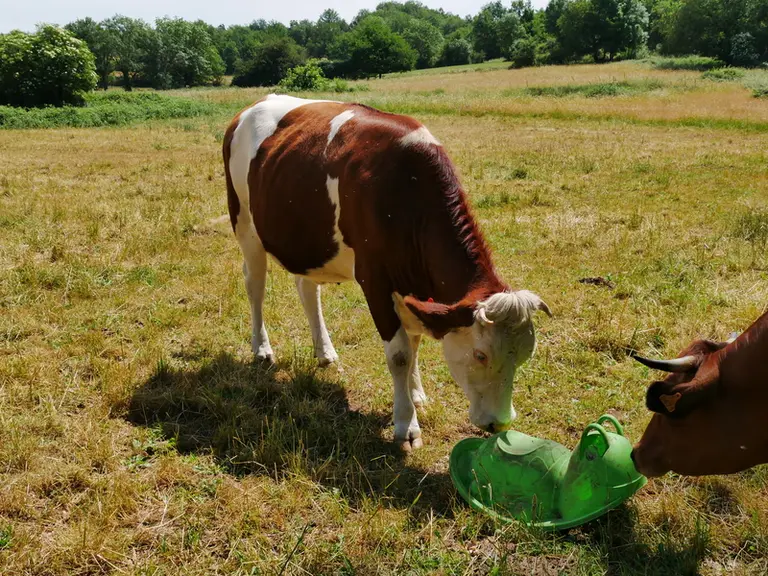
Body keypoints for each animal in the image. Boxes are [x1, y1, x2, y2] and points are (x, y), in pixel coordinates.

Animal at [222, 94, 551, 451]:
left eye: (525, 355)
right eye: (480, 355)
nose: (499, 423)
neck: (407, 194)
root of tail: (256, 104)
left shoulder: (416, 292)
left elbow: (416, 341)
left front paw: (417, 393)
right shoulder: (375, 281)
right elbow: (400, 355)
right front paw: (406, 424)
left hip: (308, 240)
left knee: (307, 290)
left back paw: (325, 352)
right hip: (245, 224)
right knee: (255, 286)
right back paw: (262, 349)